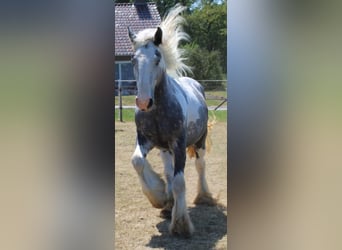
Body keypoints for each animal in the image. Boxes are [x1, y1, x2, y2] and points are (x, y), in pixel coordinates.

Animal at [128, 4, 216, 237]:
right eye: (132, 60)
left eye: (157, 58)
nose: (143, 102)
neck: (158, 110)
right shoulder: (146, 141)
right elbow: (138, 161)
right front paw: (159, 198)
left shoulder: (178, 145)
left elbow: (179, 182)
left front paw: (181, 224)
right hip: (164, 149)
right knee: (168, 172)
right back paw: (168, 205)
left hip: (199, 142)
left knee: (200, 166)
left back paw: (204, 197)